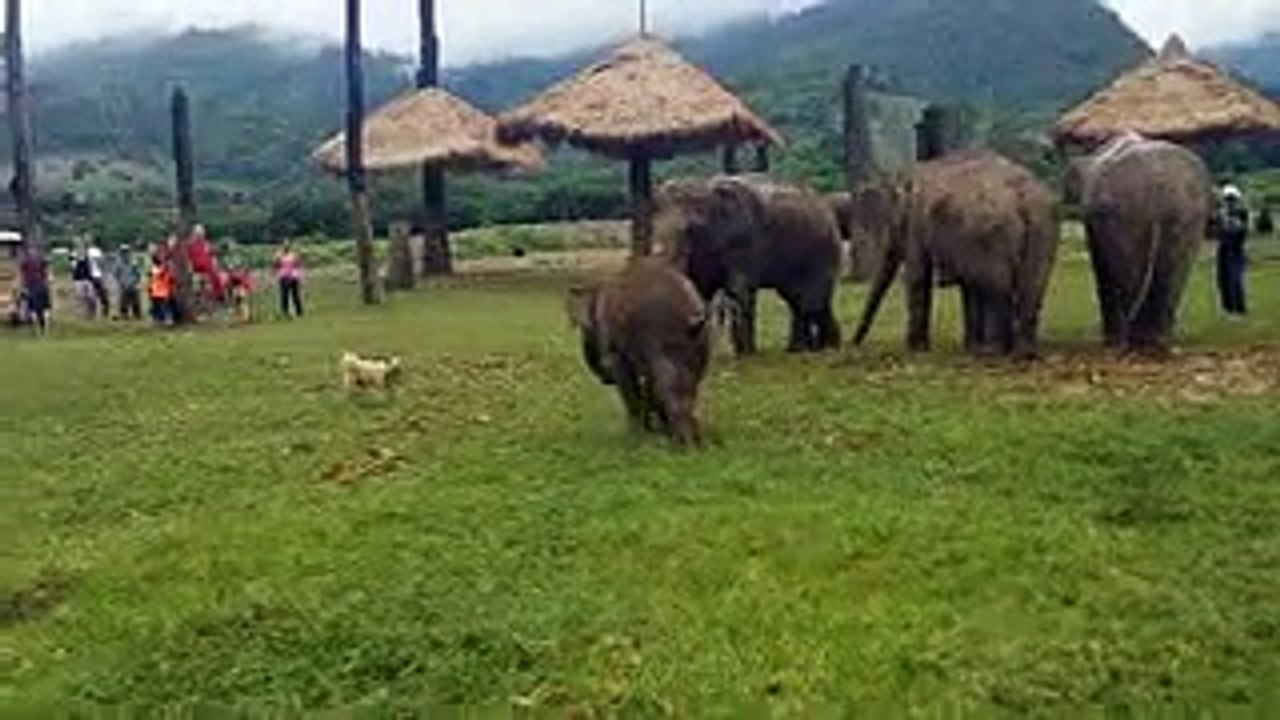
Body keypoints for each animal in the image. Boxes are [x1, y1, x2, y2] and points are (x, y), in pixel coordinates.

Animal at [567, 257, 711, 445]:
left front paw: (637, 435)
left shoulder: (619, 359)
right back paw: (692, 437)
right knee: (685, 387)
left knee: (667, 388)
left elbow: (633, 397)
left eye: (588, 331)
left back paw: (681, 439)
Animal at [653, 175, 843, 355]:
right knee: (797, 300)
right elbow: (701, 291)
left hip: (822, 253)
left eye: (690, 231)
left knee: (811, 302)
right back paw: (807, 349)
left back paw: (819, 349)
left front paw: (745, 354)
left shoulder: (742, 244)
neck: (705, 186)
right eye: (653, 226)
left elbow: (738, 291)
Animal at [852, 150, 1060, 358]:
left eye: (893, 225)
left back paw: (993, 351)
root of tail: (1023, 198)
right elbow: (967, 285)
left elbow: (917, 277)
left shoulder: (916, 224)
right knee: (1031, 286)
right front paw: (968, 346)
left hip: (990, 234)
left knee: (998, 287)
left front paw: (915, 350)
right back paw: (1023, 352)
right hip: (1044, 227)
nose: (853, 343)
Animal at [1064, 132, 1214, 352]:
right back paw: (1154, 340)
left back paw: (1132, 341)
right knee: (1173, 273)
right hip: (1187, 214)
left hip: (1127, 212)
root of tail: (1158, 185)